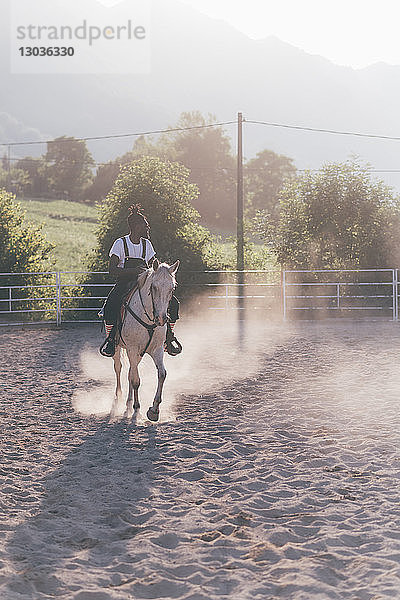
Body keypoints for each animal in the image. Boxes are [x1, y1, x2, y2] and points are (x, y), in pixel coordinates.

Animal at [112, 258, 181, 422]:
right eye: (154, 287)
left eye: (172, 288)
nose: (161, 318)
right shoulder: (132, 348)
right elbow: (136, 380)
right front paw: (137, 410)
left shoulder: (157, 349)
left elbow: (162, 374)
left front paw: (154, 410)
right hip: (118, 348)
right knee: (119, 368)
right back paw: (119, 399)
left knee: (131, 371)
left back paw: (128, 404)